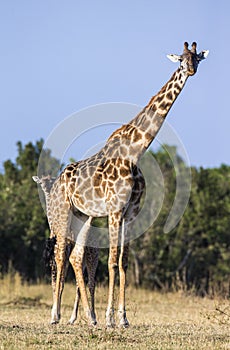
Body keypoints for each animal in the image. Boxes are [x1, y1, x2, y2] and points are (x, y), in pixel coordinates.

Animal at [31, 175, 98, 326]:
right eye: (42, 182)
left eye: (49, 181)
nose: (46, 189)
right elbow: (59, 281)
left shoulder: (58, 255)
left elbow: (58, 282)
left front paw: (55, 315)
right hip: (87, 259)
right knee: (84, 282)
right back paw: (79, 317)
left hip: (89, 257)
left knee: (88, 282)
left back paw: (91, 316)